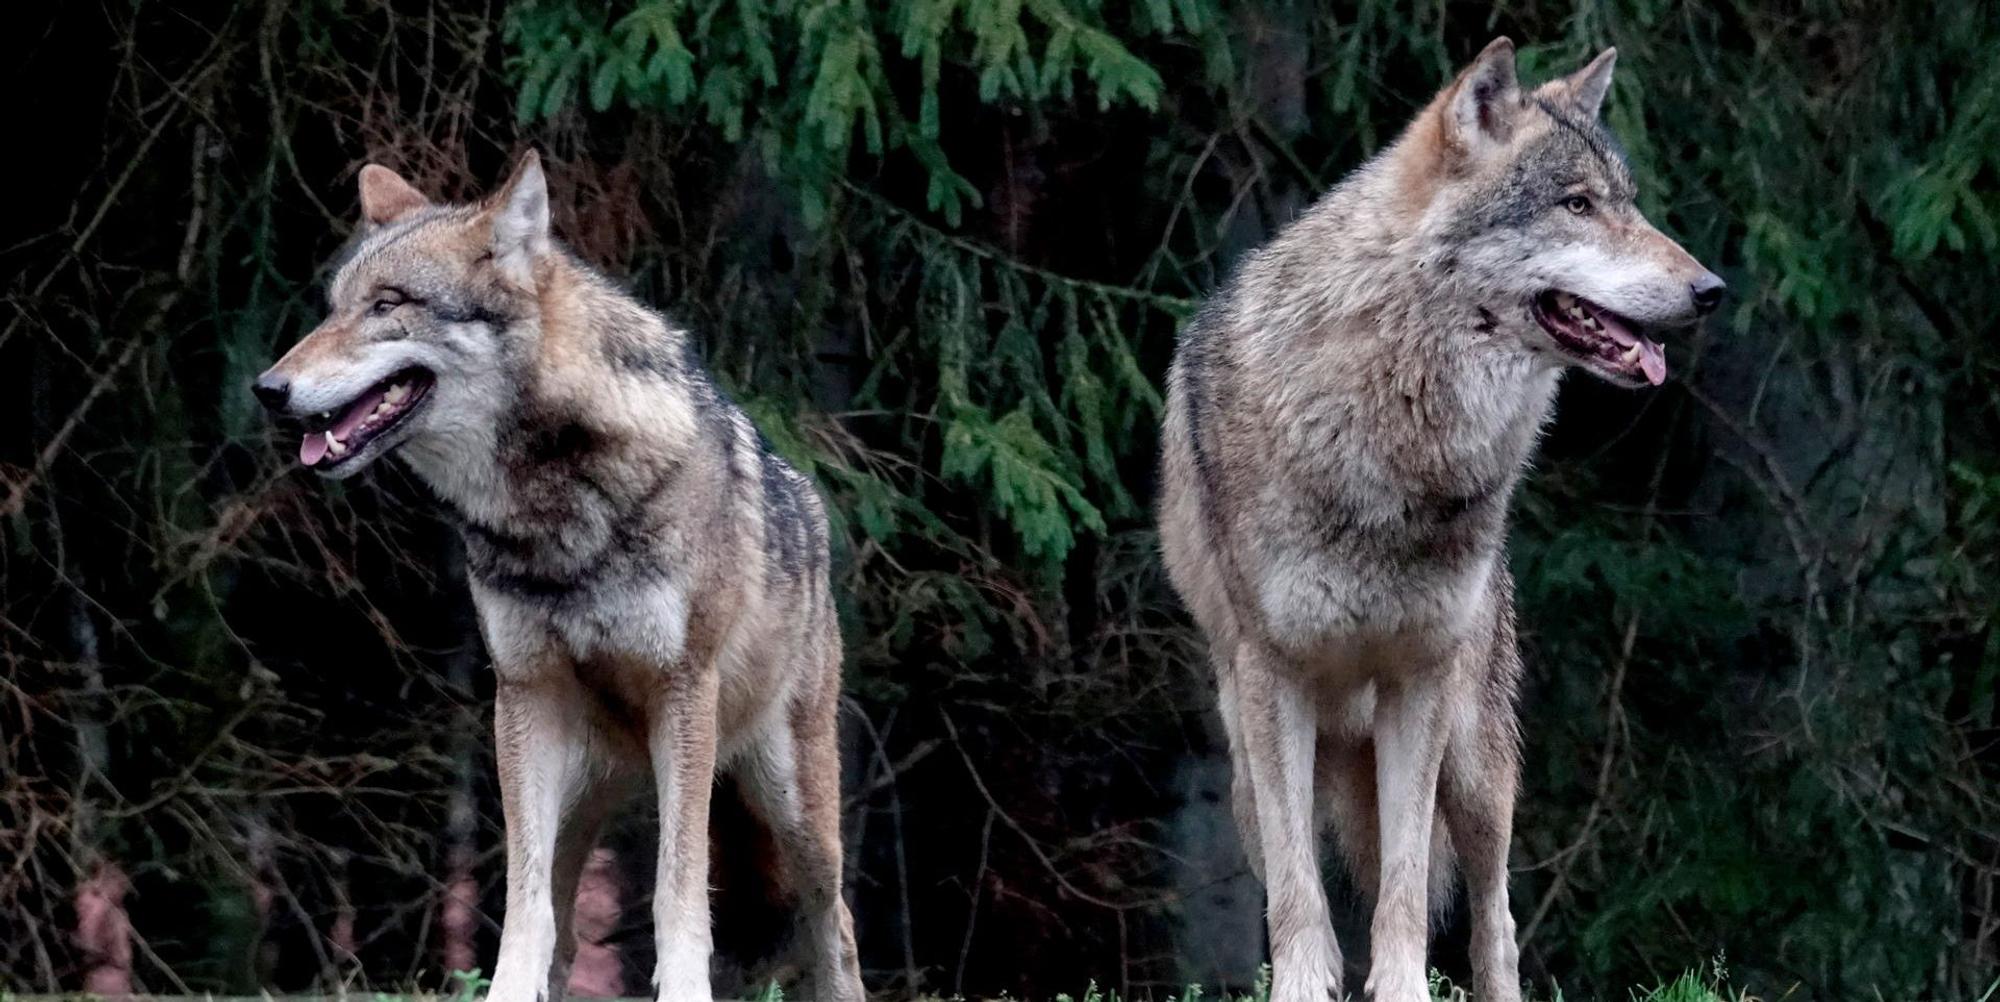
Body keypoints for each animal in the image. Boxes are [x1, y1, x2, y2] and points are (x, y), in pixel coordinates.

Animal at [253, 152, 865, 1002]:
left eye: (387, 305)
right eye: (334, 308)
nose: (267, 390)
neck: (554, 514)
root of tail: (811, 505)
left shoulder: (684, 690)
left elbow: (677, 893)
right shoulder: (523, 696)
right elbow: (525, 906)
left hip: (792, 806)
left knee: (834, 923)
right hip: (582, 794)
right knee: (568, 926)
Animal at [1158, 39, 1723, 1002]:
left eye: (1629, 202)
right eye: (1577, 204)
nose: (1711, 289)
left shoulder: (1418, 680)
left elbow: (1405, 891)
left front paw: (1401, 990)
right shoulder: (1275, 682)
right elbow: (1303, 901)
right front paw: (1306, 988)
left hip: (1477, 766)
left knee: (1494, 919)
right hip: (1246, 763)